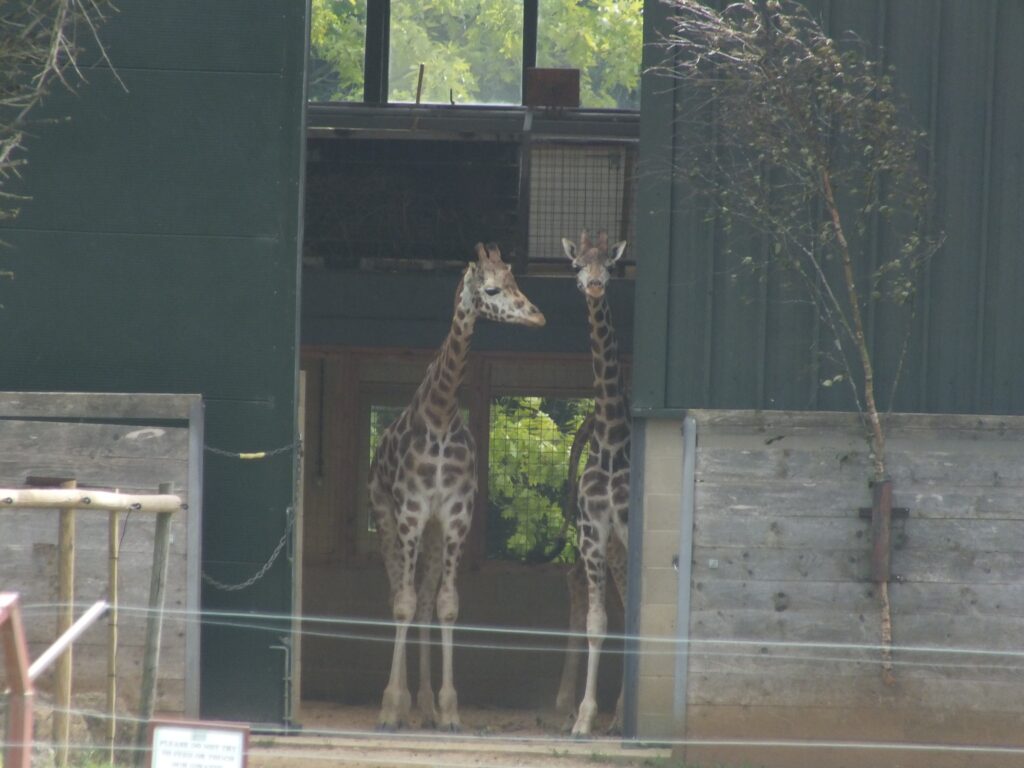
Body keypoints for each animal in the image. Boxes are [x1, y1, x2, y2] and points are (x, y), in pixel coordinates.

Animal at [368, 242, 545, 731]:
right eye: (491, 288)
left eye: (515, 279)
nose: (538, 317)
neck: (442, 414)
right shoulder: (410, 512)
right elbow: (403, 603)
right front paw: (390, 707)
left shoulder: (455, 516)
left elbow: (445, 605)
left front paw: (448, 710)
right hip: (386, 519)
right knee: (398, 593)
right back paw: (398, 706)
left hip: (431, 533)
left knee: (426, 601)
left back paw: (424, 705)